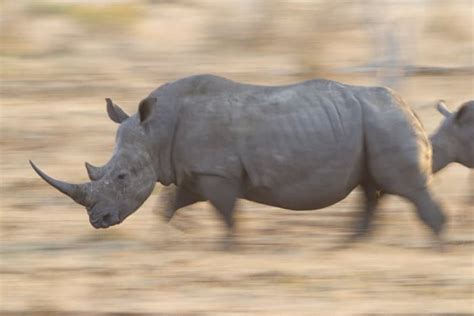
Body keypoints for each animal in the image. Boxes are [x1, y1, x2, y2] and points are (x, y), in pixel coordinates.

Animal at [29, 74, 460, 242]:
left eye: (120, 177)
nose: (97, 221)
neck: (155, 132)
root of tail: (409, 107)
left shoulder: (216, 172)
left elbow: (225, 212)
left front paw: (229, 247)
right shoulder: (196, 171)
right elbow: (173, 204)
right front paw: (171, 235)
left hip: (387, 122)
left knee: (406, 187)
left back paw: (436, 246)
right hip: (375, 124)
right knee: (371, 189)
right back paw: (348, 246)